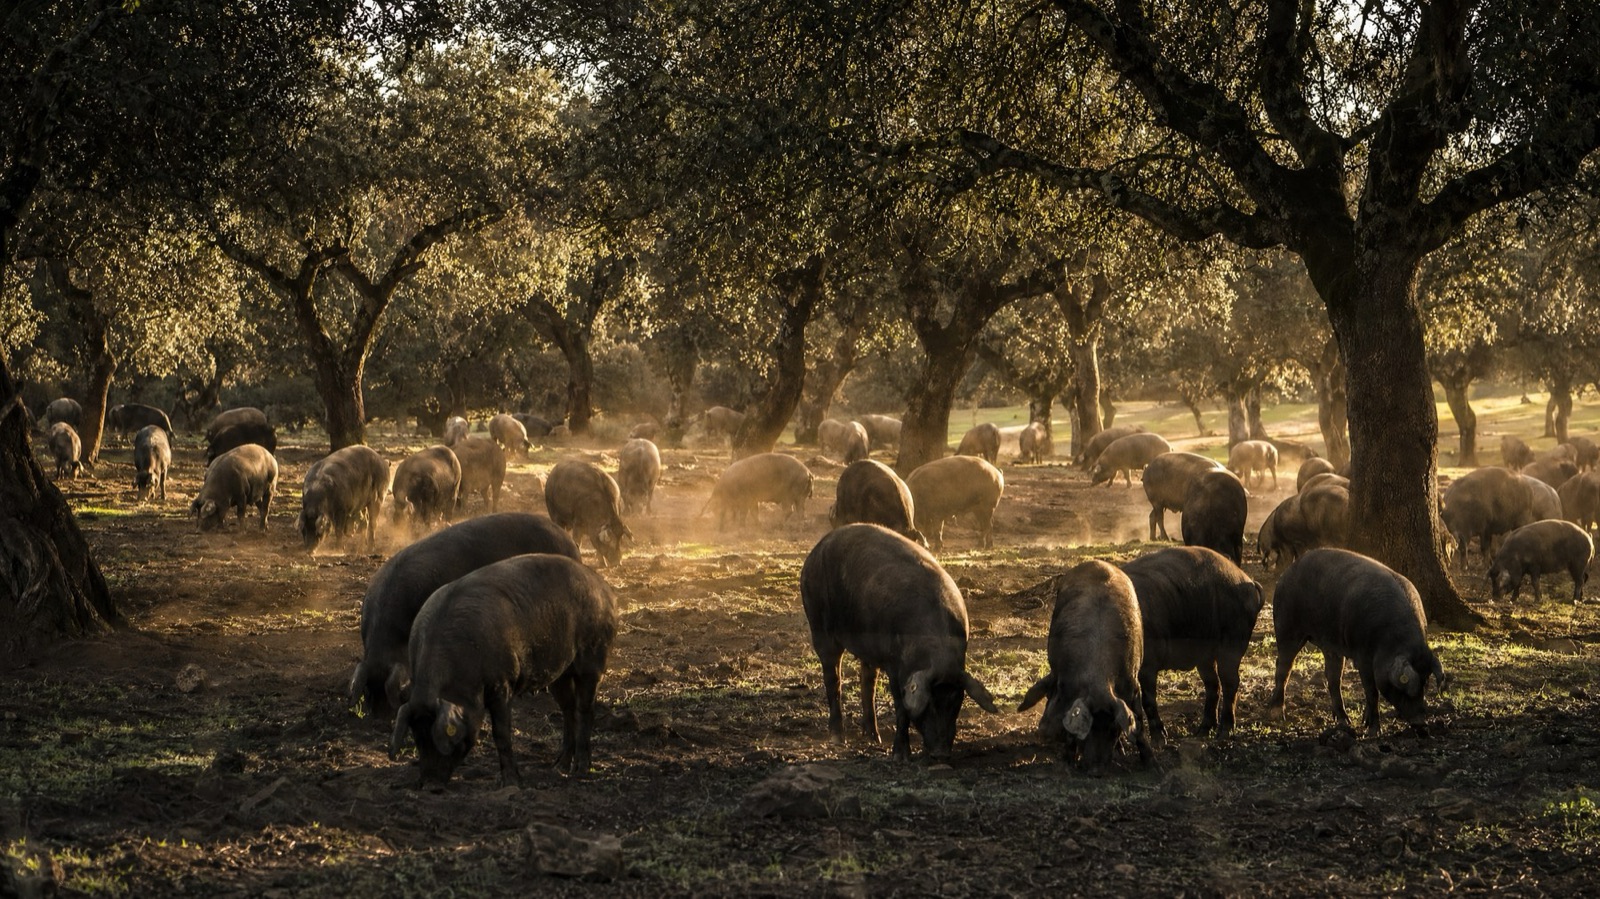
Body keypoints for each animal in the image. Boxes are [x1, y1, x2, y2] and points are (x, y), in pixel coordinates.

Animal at [389, 554, 619, 785]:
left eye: (443, 738)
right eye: (418, 737)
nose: (430, 785)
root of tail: (605, 588)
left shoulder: (502, 683)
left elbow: (501, 733)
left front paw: (511, 782)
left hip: (594, 656)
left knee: (585, 709)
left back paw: (581, 771)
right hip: (560, 673)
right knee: (568, 709)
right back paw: (558, 767)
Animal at [800, 524, 998, 761]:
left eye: (956, 701)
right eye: (929, 704)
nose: (940, 753)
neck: (937, 650)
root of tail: (816, 550)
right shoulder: (895, 666)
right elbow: (901, 708)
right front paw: (900, 757)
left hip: (868, 647)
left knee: (867, 680)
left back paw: (873, 737)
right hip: (819, 625)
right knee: (833, 678)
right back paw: (838, 740)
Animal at [1018, 560, 1153, 772]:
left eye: (1113, 728)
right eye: (1088, 728)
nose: (1096, 770)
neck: (1100, 679)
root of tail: (1097, 562)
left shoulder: (1132, 684)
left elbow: (1138, 723)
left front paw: (1153, 765)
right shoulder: (1067, 688)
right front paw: (1067, 763)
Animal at [1122, 547, 1263, 743]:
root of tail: (1248, 581)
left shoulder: (1148, 666)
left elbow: (1148, 701)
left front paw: (1159, 739)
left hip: (1233, 644)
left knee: (1230, 682)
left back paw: (1224, 732)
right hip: (1205, 656)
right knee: (1213, 684)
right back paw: (1203, 730)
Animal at [1267, 548, 1445, 737]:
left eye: (1426, 682)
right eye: (1406, 686)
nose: (1421, 724)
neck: (1392, 641)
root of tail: (1287, 572)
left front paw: (1364, 723)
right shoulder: (1363, 655)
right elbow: (1372, 691)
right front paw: (1374, 732)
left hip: (1331, 644)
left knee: (1333, 677)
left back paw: (1345, 722)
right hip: (1287, 626)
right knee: (1284, 667)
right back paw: (1277, 715)